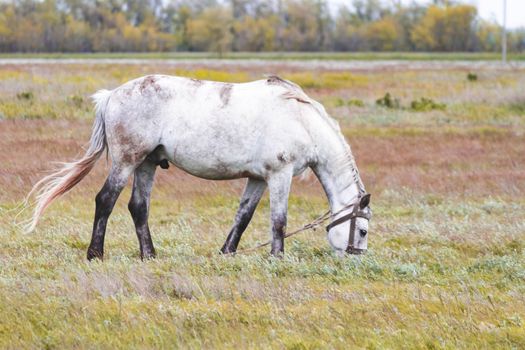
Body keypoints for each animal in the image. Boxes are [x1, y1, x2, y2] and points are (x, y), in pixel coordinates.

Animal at [26, 74, 370, 260]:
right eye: (363, 231)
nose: (356, 259)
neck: (301, 120)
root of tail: (111, 95)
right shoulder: (279, 175)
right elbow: (279, 221)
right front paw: (278, 257)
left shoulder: (258, 179)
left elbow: (243, 216)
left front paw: (227, 252)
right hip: (127, 161)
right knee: (105, 200)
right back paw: (95, 254)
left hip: (147, 164)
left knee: (138, 207)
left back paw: (149, 255)